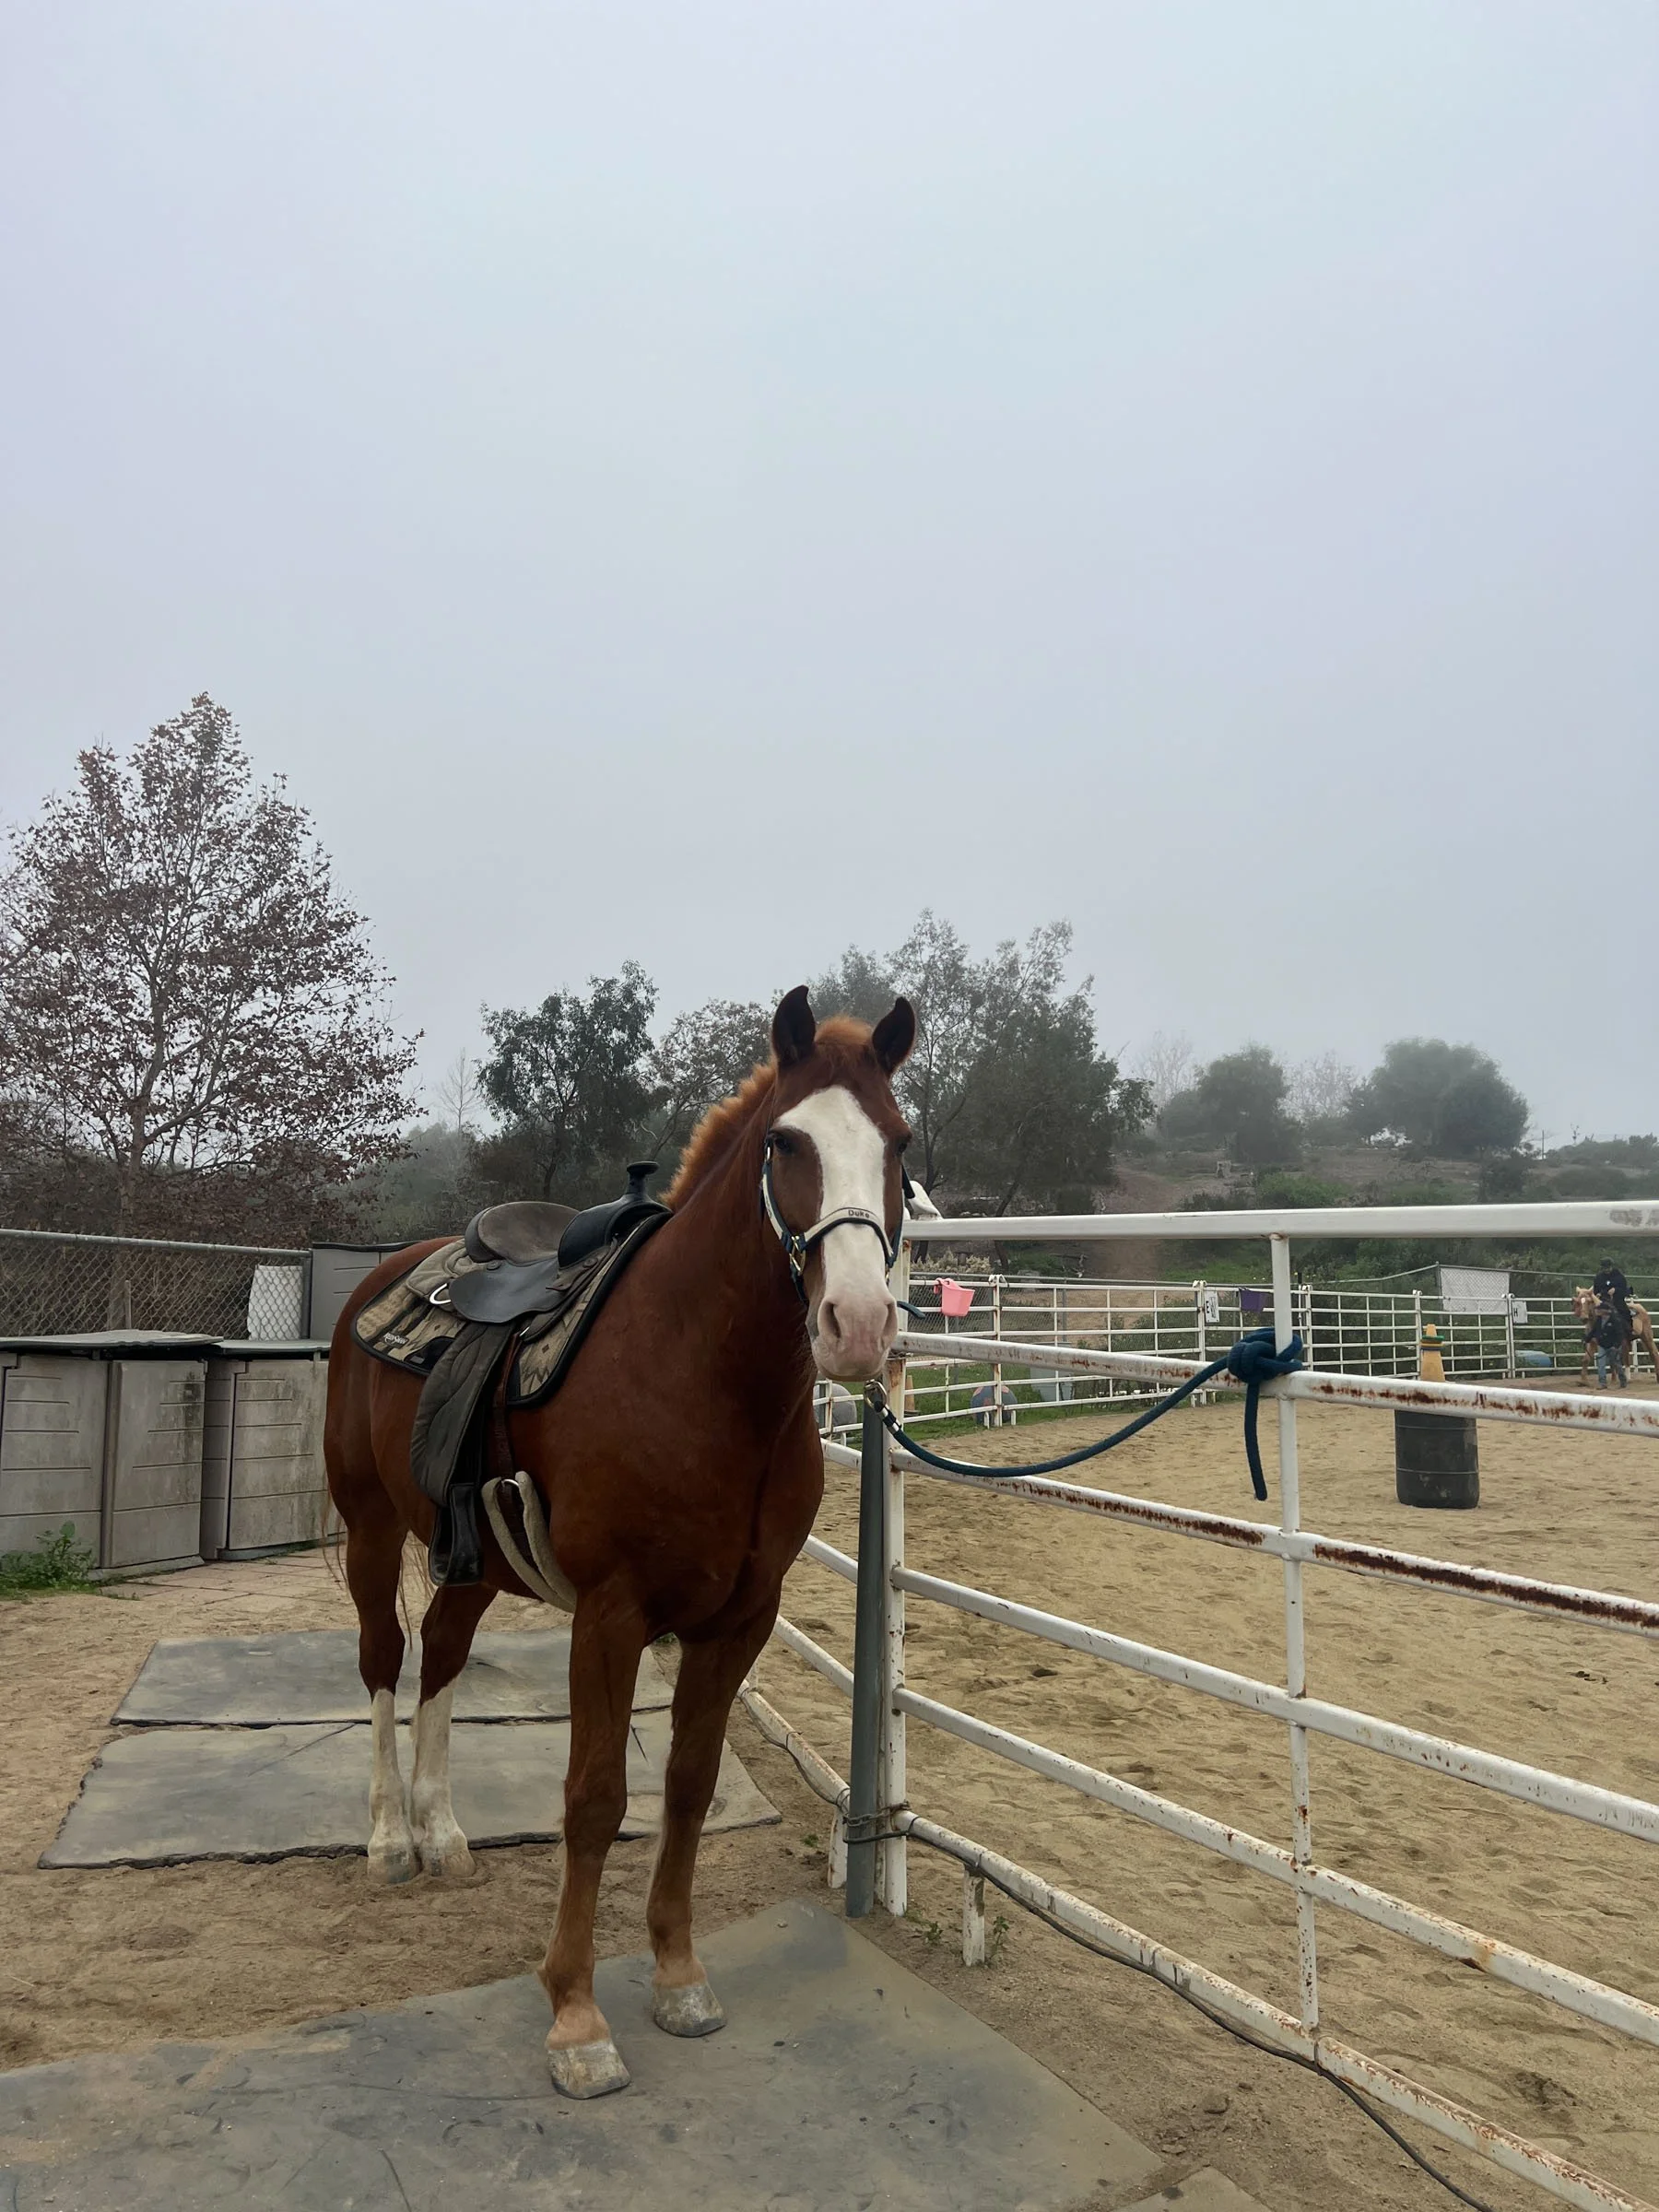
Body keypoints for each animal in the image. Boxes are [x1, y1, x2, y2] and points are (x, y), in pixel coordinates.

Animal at [324, 987, 915, 2097]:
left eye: (900, 1143)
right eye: (784, 1142)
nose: (856, 1326)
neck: (704, 1377)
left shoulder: (741, 1617)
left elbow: (687, 1784)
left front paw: (678, 1973)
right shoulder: (610, 1613)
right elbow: (595, 1800)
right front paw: (575, 2017)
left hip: (476, 1563)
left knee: (444, 1655)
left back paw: (442, 1831)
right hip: (369, 1531)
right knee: (385, 1659)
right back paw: (387, 1839)